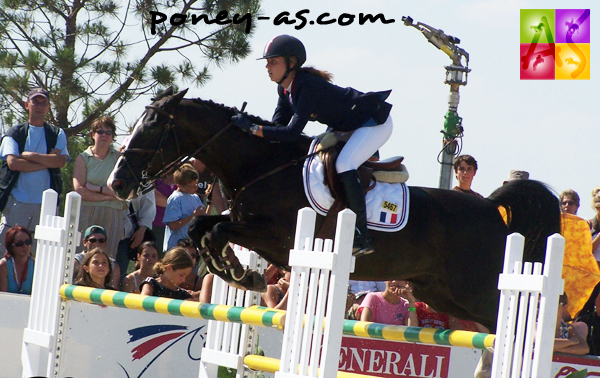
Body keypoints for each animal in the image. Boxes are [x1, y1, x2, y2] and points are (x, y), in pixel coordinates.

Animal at [109, 88, 564, 330]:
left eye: (153, 126)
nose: (117, 183)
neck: (263, 165)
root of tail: (490, 209)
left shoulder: (278, 238)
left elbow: (216, 231)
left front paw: (241, 273)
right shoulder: (244, 223)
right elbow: (202, 228)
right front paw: (239, 273)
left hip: (475, 289)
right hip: (438, 293)